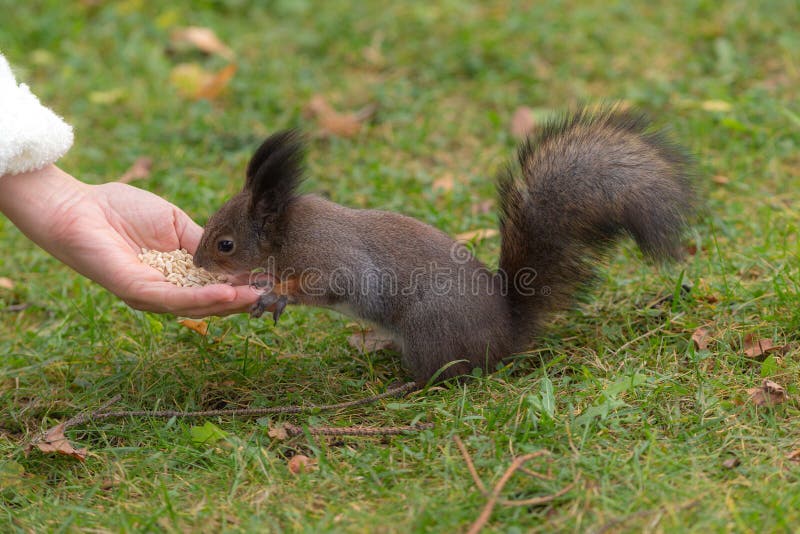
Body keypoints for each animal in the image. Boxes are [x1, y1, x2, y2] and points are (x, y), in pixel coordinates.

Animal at [193, 107, 694, 384]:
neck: (285, 233)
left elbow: (335, 285)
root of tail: (506, 335)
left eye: (225, 244)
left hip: (428, 328)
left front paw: (278, 293)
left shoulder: (330, 255)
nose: (198, 262)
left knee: (446, 375)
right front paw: (265, 279)